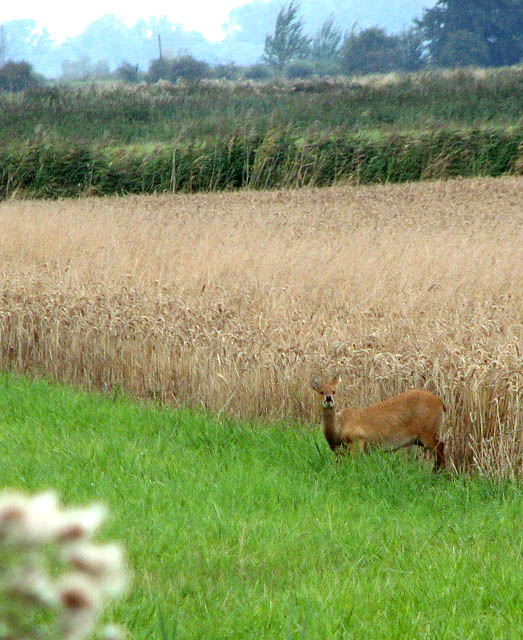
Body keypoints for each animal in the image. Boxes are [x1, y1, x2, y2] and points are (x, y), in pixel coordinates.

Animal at [310, 375, 446, 471]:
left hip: (428, 430)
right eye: (321, 391)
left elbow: (354, 465)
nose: (328, 398)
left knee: (440, 447)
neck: (338, 429)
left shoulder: (357, 441)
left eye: (334, 391)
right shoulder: (339, 452)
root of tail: (441, 403)